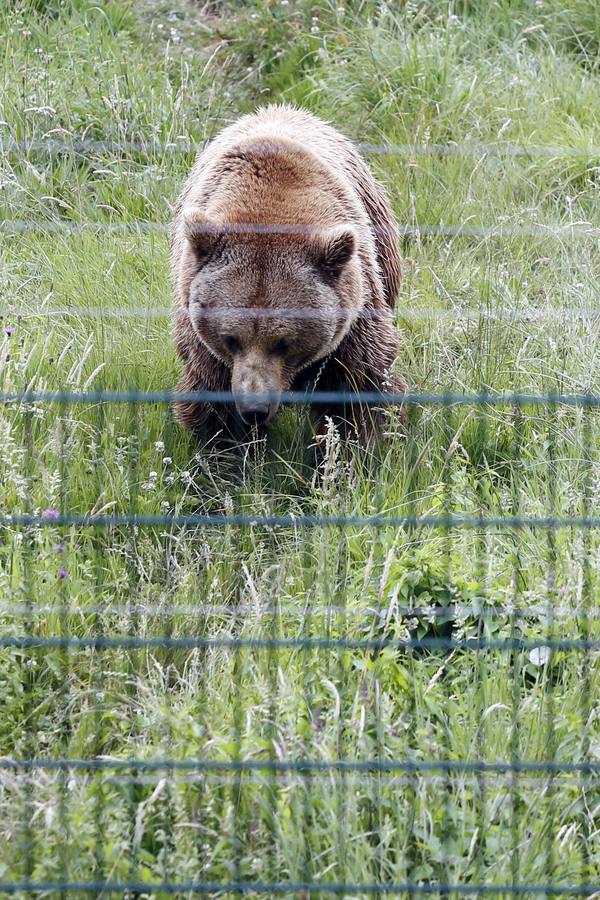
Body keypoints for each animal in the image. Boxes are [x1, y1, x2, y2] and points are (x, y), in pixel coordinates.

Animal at [171, 105, 406, 442]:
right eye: (231, 339)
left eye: (283, 342)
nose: (255, 408)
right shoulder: (199, 328)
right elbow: (213, 400)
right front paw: (226, 445)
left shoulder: (353, 311)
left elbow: (357, 386)